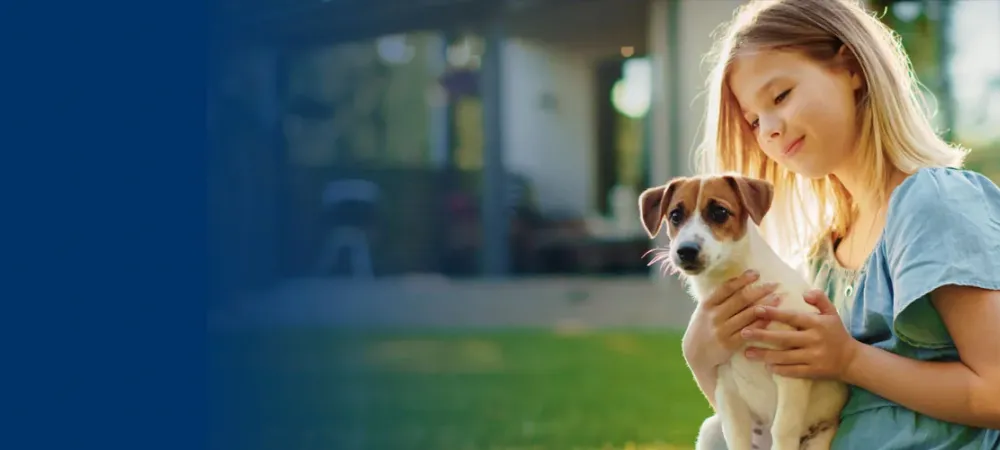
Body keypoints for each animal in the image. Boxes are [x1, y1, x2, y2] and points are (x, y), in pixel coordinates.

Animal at [640, 173, 844, 450]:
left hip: (820, 437)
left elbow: (784, 427)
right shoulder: (726, 388)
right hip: (710, 430)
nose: (686, 250)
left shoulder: (791, 372)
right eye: (675, 216)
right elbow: (736, 436)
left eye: (719, 212)